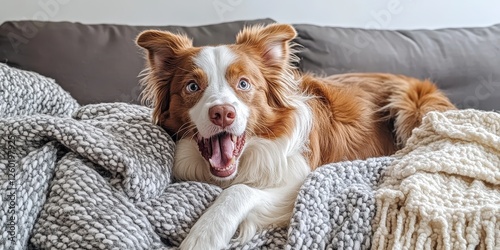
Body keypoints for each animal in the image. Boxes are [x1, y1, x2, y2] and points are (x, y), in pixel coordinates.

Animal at [135, 23, 456, 248]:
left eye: (243, 84)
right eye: (192, 86)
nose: (223, 113)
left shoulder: (298, 181)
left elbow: (239, 191)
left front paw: (204, 237)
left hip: (411, 103)